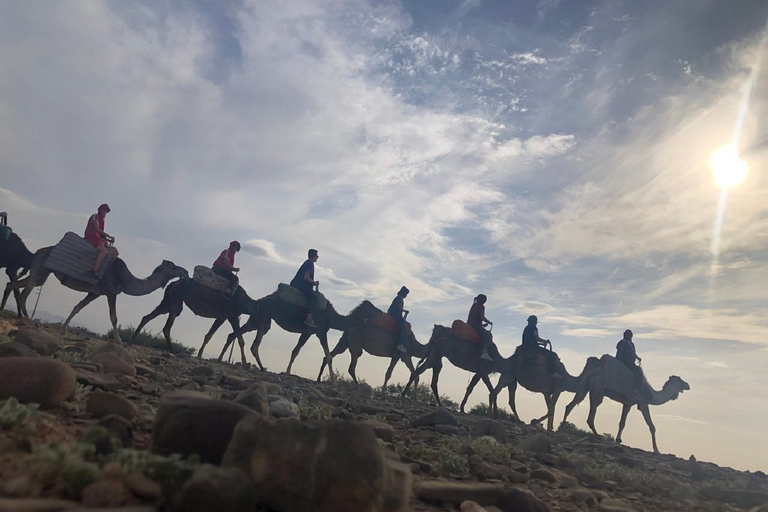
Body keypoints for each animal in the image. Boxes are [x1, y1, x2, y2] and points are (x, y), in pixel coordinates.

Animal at [9, 247, 188, 342]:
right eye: (173, 266)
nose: (185, 271)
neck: (125, 278)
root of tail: (38, 251)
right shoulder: (110, 292)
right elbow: (114, 317)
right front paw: (119, 340)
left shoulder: (95, 293)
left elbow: (77, 307)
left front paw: (64, 329)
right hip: (40, 268)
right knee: (24, 293)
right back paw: (29, 320)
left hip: (42, 274)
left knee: (13, 285)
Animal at [127, 278, 256, 366]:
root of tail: (174, 283)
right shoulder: (232, 316)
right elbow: (240, 339)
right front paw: (245, 363)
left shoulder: (222, 317)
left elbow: (209, 335)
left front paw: (199, 355)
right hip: (176, 300)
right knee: (167, 326)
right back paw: (172, 351)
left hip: (167, 302)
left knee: (147, 317)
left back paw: (131, 341)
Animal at [220, 292, 380, 376]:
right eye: (372, 307)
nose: (381, 312)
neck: (332, 317)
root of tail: (259, 301)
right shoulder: (320, 331)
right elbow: (328, 356)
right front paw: (333, 379)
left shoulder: (308, 333)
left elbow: (295, 351)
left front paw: (287, 371)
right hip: (263, 318)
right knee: (252, 343)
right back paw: (259, 367)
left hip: (257, 319)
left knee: (236, 335)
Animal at [560, 356, 688, 452]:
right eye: (680, 380)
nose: (688, 385)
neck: (651, 394)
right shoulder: (641, 403)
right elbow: (651, 426)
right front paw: (656, 449)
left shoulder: (628, 403)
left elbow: (622, 423)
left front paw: (618, 440)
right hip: (597, 390)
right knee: (590, 417)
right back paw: (599, 438)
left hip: (585, 387)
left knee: (570, 406)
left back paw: (561, 428)